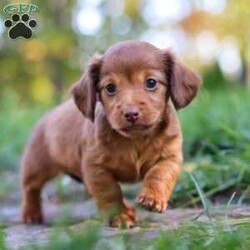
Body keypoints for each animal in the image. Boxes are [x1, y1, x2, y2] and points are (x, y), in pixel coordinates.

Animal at [21, 40, 201, 228]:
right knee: (30, 188)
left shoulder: (170, 157)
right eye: (110, 87)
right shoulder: (95, 168)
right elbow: (110, 191)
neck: (135, 139)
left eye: (151, 82)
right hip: (37, 166)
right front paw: (120, 217)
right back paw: (31, 213)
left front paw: (153, 197)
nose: (131, 114)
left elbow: (159, 174)